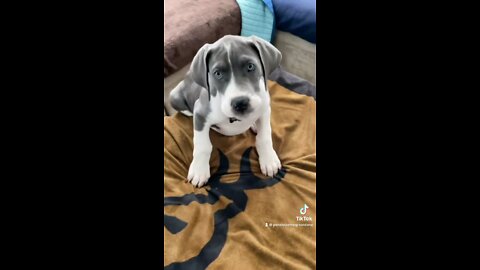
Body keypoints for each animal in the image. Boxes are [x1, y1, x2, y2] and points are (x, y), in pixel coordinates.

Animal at [169, 35, 282, 188]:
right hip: (174, 96)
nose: (240, 103)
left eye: (250, 66)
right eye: (217, 73)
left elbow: (265, 136)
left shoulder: (264, 108)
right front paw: (199, 170)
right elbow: (202, 145)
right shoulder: (200, 113)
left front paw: (269, 159)